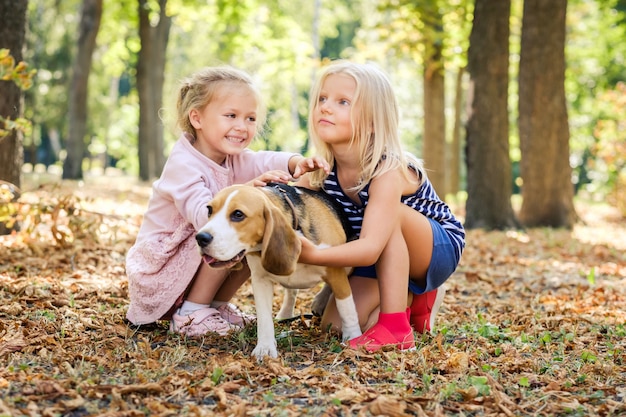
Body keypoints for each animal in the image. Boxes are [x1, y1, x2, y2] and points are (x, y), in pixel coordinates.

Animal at [195, 184, 360, 360]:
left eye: (238, 214)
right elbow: (264, 318)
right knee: (292, 292)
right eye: (209, 210)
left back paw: (320, 301)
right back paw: (286, 313)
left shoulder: (336, 270)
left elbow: (347, 309)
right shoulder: (260, 280)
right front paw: (265, 347)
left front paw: (354, 337)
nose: (200, 238)